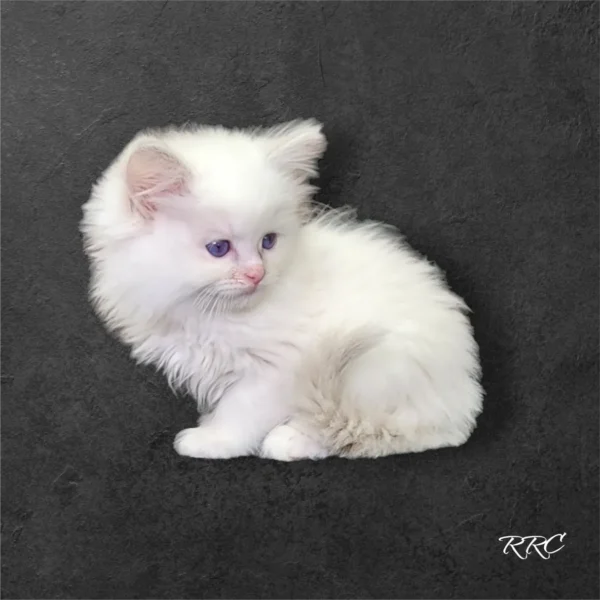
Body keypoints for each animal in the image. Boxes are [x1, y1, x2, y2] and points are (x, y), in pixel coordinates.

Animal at [81, 119, 482, 462]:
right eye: (219, 248)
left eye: (268, 241)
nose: (257, 273)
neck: (208, 315)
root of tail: (465, 394)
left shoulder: (277, 368)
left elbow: (240, 412)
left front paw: (212, 440)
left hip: (382, 370)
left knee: (389, 432)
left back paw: (289, 441)